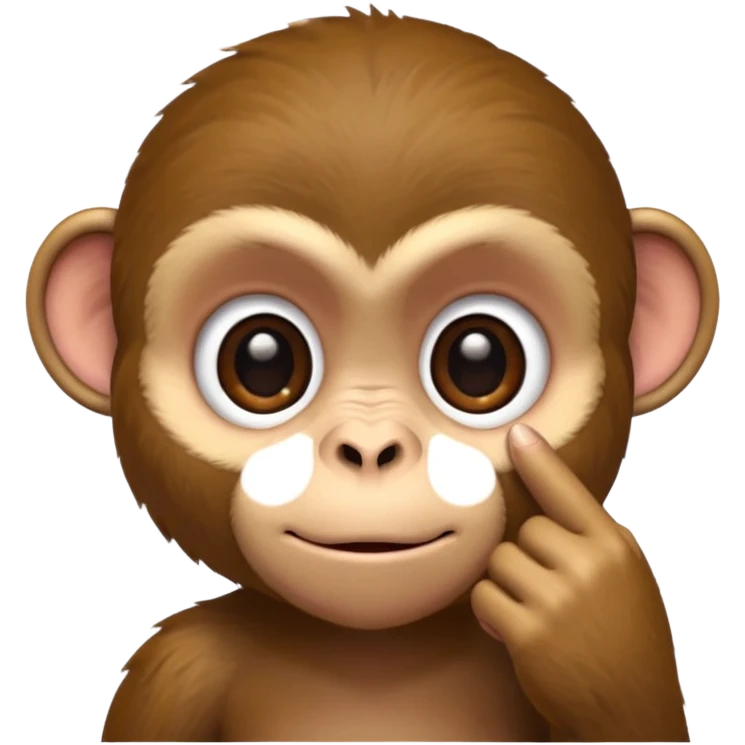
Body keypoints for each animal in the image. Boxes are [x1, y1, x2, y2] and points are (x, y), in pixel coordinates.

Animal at [24, 9, 718, 744]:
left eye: (479, 360)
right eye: (261, 361)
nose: (369, 448)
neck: (373, 650)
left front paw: (591, 612)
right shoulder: (177, 668)